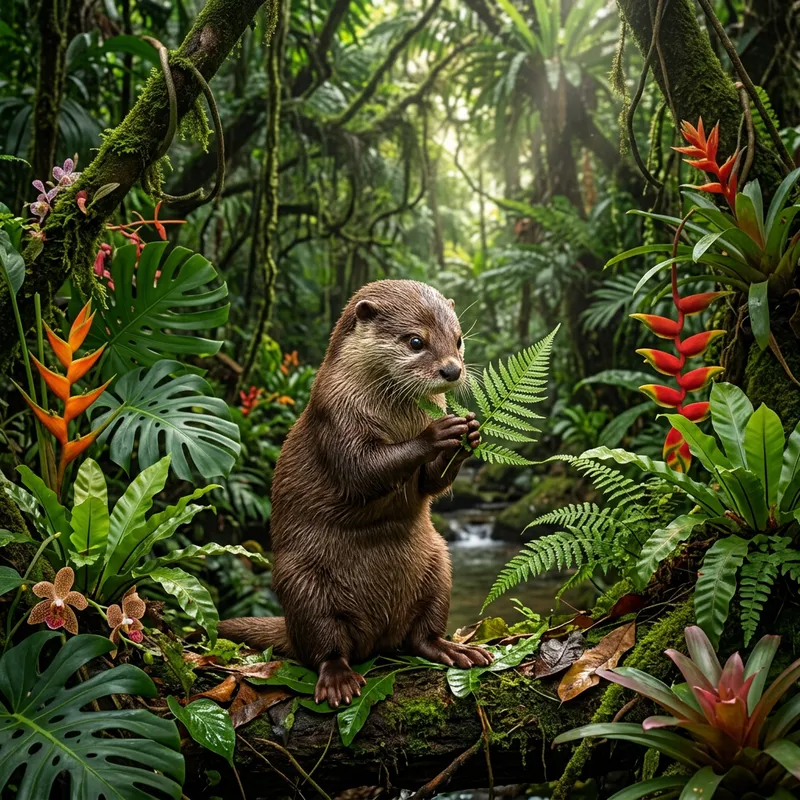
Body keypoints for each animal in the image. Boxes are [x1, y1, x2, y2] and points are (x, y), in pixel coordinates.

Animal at [218, 280, 492, 706]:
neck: (396, 415)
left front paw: (469, 435)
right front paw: (437, 433)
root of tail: (379, 638)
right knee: (324, 646)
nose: (452, 369)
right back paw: (338, 679)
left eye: (459, 340)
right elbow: (361, 471)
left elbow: (430, 484)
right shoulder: (334, 412)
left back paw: (454, 650)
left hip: (439, 565)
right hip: (301, 583)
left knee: (422, 634)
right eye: (416, 341)